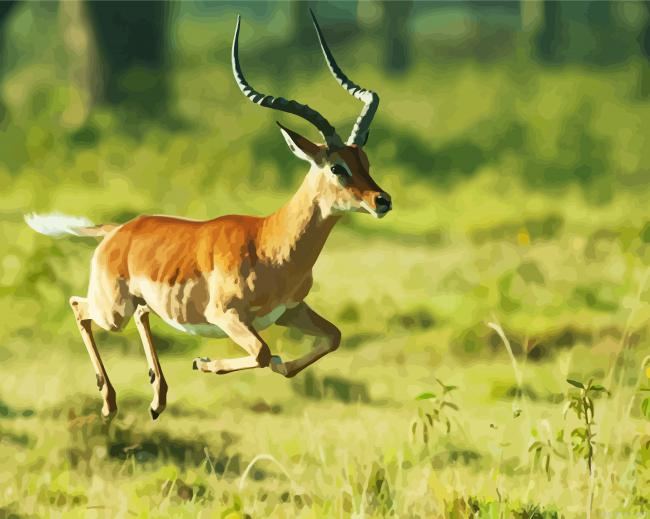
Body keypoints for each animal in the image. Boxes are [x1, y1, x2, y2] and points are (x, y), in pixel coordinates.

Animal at [25, 12, 391, 421]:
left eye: (365, 161)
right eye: (337, 168)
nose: (381, 201)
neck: (270, 244)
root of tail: (118, 230)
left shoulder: (290, 310)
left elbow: (332, 338)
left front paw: (278, 364)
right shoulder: (227, 315)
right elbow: (262, 352)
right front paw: (204, 362)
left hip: (135, 305)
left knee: (139, 315)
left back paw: (157, 399)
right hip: (112, 310)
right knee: (78, 307)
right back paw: (109, 404)